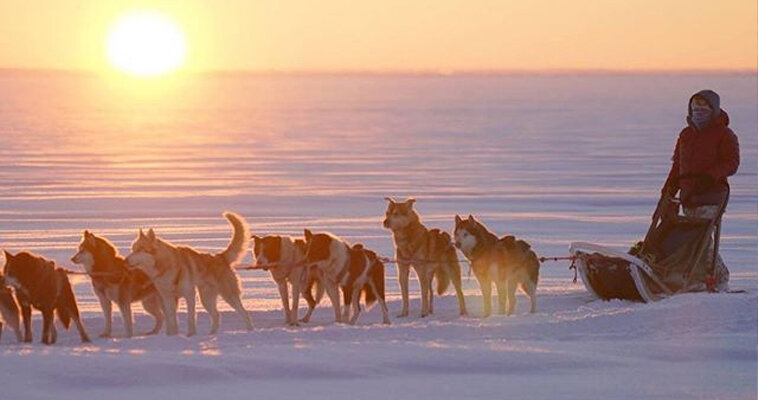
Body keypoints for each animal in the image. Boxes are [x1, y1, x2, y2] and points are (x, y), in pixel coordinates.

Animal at [126, 211, 254, 336]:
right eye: (133, 249)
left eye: (140, 249)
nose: (125, 260)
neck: (165, 266)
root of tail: (220, 257)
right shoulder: (167, 298)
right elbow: (172, 320)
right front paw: (172, 336)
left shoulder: (189, 295)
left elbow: (190, 318)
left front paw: (191, 335)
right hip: (206, 299)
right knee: (217, 315)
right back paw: (211, 334)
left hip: (228, 296)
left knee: (244, 313)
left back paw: (250, 331)